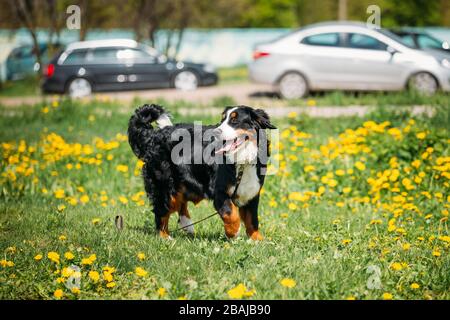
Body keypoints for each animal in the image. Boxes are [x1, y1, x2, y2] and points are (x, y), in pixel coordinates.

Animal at [125, 104, 274, 240]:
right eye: (222, 120)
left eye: (234, 120)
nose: (216, 132)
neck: (242, 162)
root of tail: (154, 136)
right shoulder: (219, 192)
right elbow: (230, 213)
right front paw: (233, 231)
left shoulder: (251, 194)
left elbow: (252, 219)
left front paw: (257, 240)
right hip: (164, 185)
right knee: (161, 211)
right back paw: (165, 237)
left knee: (180, 203)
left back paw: (188, 225)